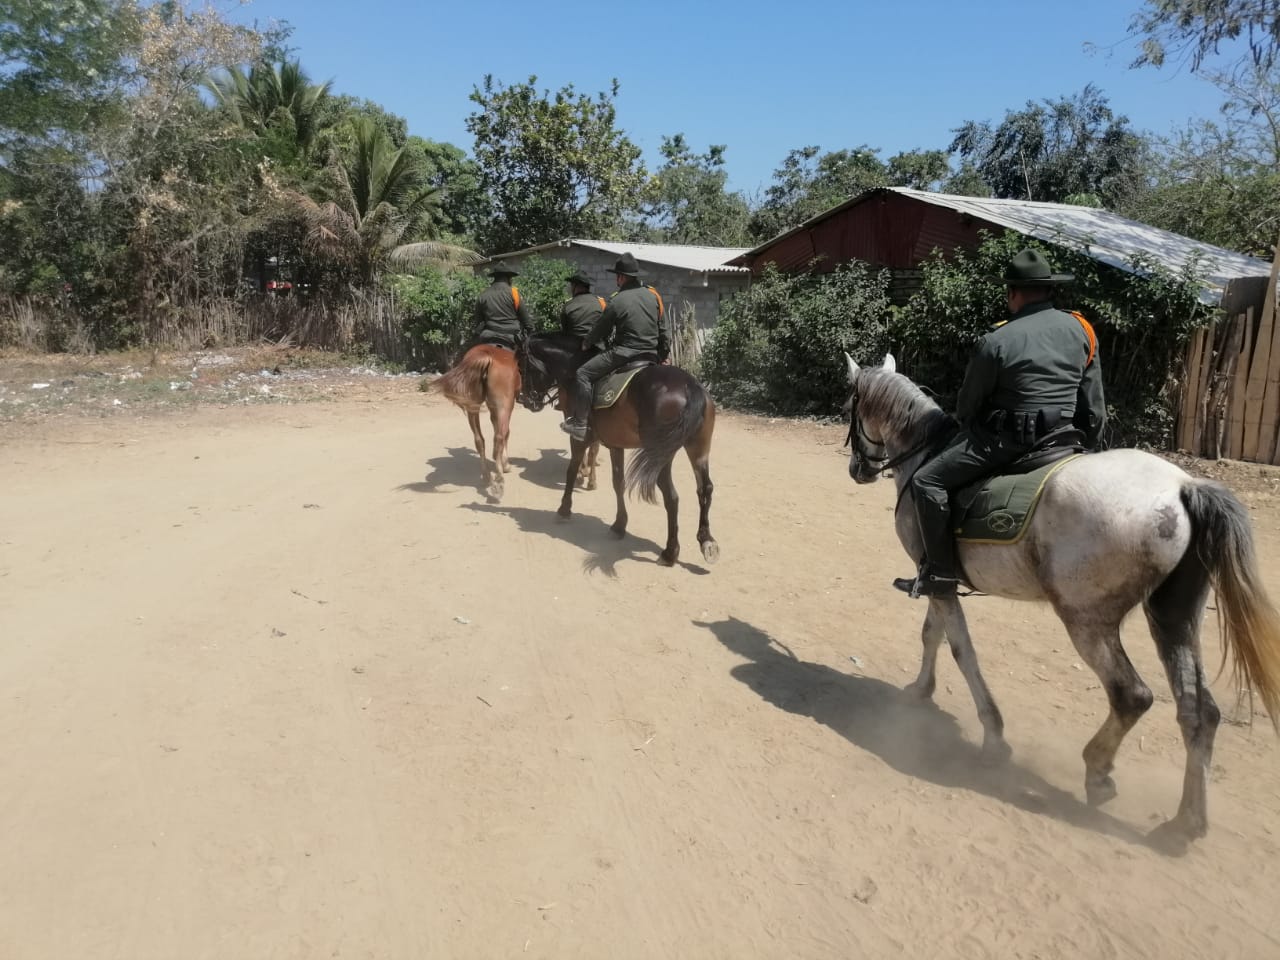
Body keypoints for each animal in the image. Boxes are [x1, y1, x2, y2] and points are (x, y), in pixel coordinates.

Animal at [430, 343, 519, 499]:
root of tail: (485, 355)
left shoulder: (491, 407)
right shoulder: (504, 406)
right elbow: (505, 433)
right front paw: (505, 464)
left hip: (473, 406)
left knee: (479, 440)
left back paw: (486, 477)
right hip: (504, 405)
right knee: (499, 437)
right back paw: (499, 482)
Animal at [522, 335, 721, 568]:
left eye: (522, 365)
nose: (527, 400)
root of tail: (690, 387)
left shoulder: (580, 438)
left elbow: (571, 471)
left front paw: (564, 510)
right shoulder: (615, 444)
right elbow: (618, 483)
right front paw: (619, 525)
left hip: (660, 454)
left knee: (671, 496)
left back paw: (670, 552)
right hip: (698, 449)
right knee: (705, 489)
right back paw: (706, 541)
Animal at [839, 353, 1280, 855]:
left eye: (849, 407)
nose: (858, 469)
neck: (925, 456)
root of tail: (1182, 487)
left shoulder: (937, 578)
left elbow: (961, 650)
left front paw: (993, 737)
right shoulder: (938, 576)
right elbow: (933, 634)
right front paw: (920, 690)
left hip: (1086, 621)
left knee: (1132, 696)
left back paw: (1099, 773)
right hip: (1174, 619)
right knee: (1199, 713)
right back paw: (1183, 824)